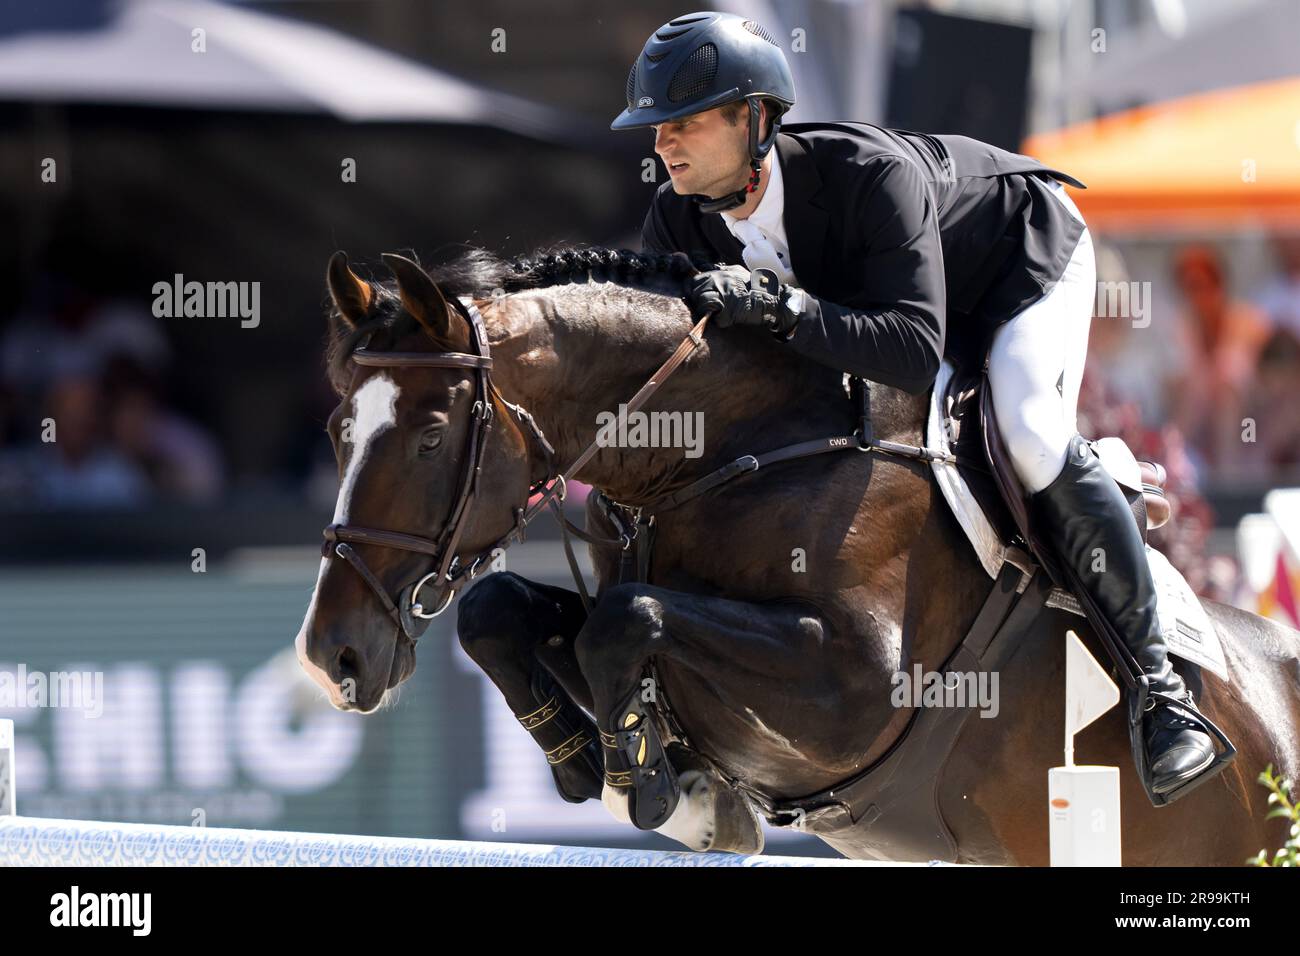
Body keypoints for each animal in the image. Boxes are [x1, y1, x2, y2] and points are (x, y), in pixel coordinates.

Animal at [295, 247, 1300, 868]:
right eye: (339, 431)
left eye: (430, 438)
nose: (329, 658)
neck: (736, 448)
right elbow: (503, 612)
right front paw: (601, 766)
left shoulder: (856, 687)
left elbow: (627, 619)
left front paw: (652, 789)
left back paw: (1173, 738)